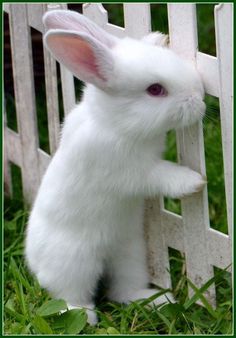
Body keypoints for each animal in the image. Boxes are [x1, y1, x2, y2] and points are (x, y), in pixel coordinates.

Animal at [24, 8, 206, 324]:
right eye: (155, 90)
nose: (199, 99)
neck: (115, 123)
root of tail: (33, 262)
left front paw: (158, 37)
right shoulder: (130, 171)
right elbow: (161, 174)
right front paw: (194, 182)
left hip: (130, 252)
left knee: (122, 290)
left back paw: (155, 300)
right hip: (73, 263)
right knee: (69, 293)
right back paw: (84, 316)